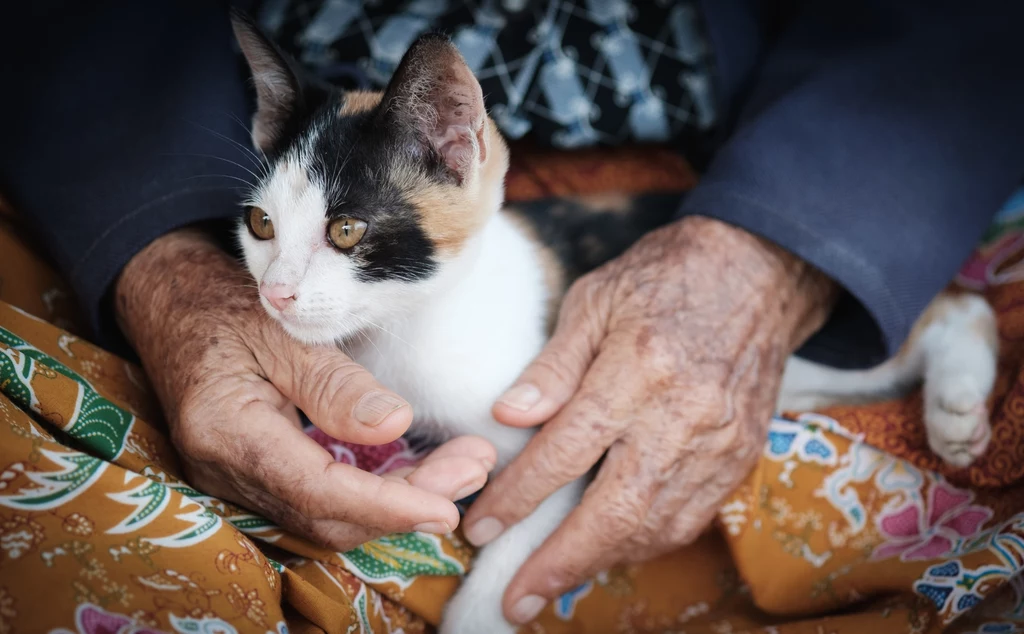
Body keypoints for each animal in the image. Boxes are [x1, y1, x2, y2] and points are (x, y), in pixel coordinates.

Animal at [230, 17, 991, 630]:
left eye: (347, 230)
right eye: (261, 225)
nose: (276, 294)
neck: (408, 329)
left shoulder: (562, 436)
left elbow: (512, 550)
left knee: (959, 306)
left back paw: (958, 404)